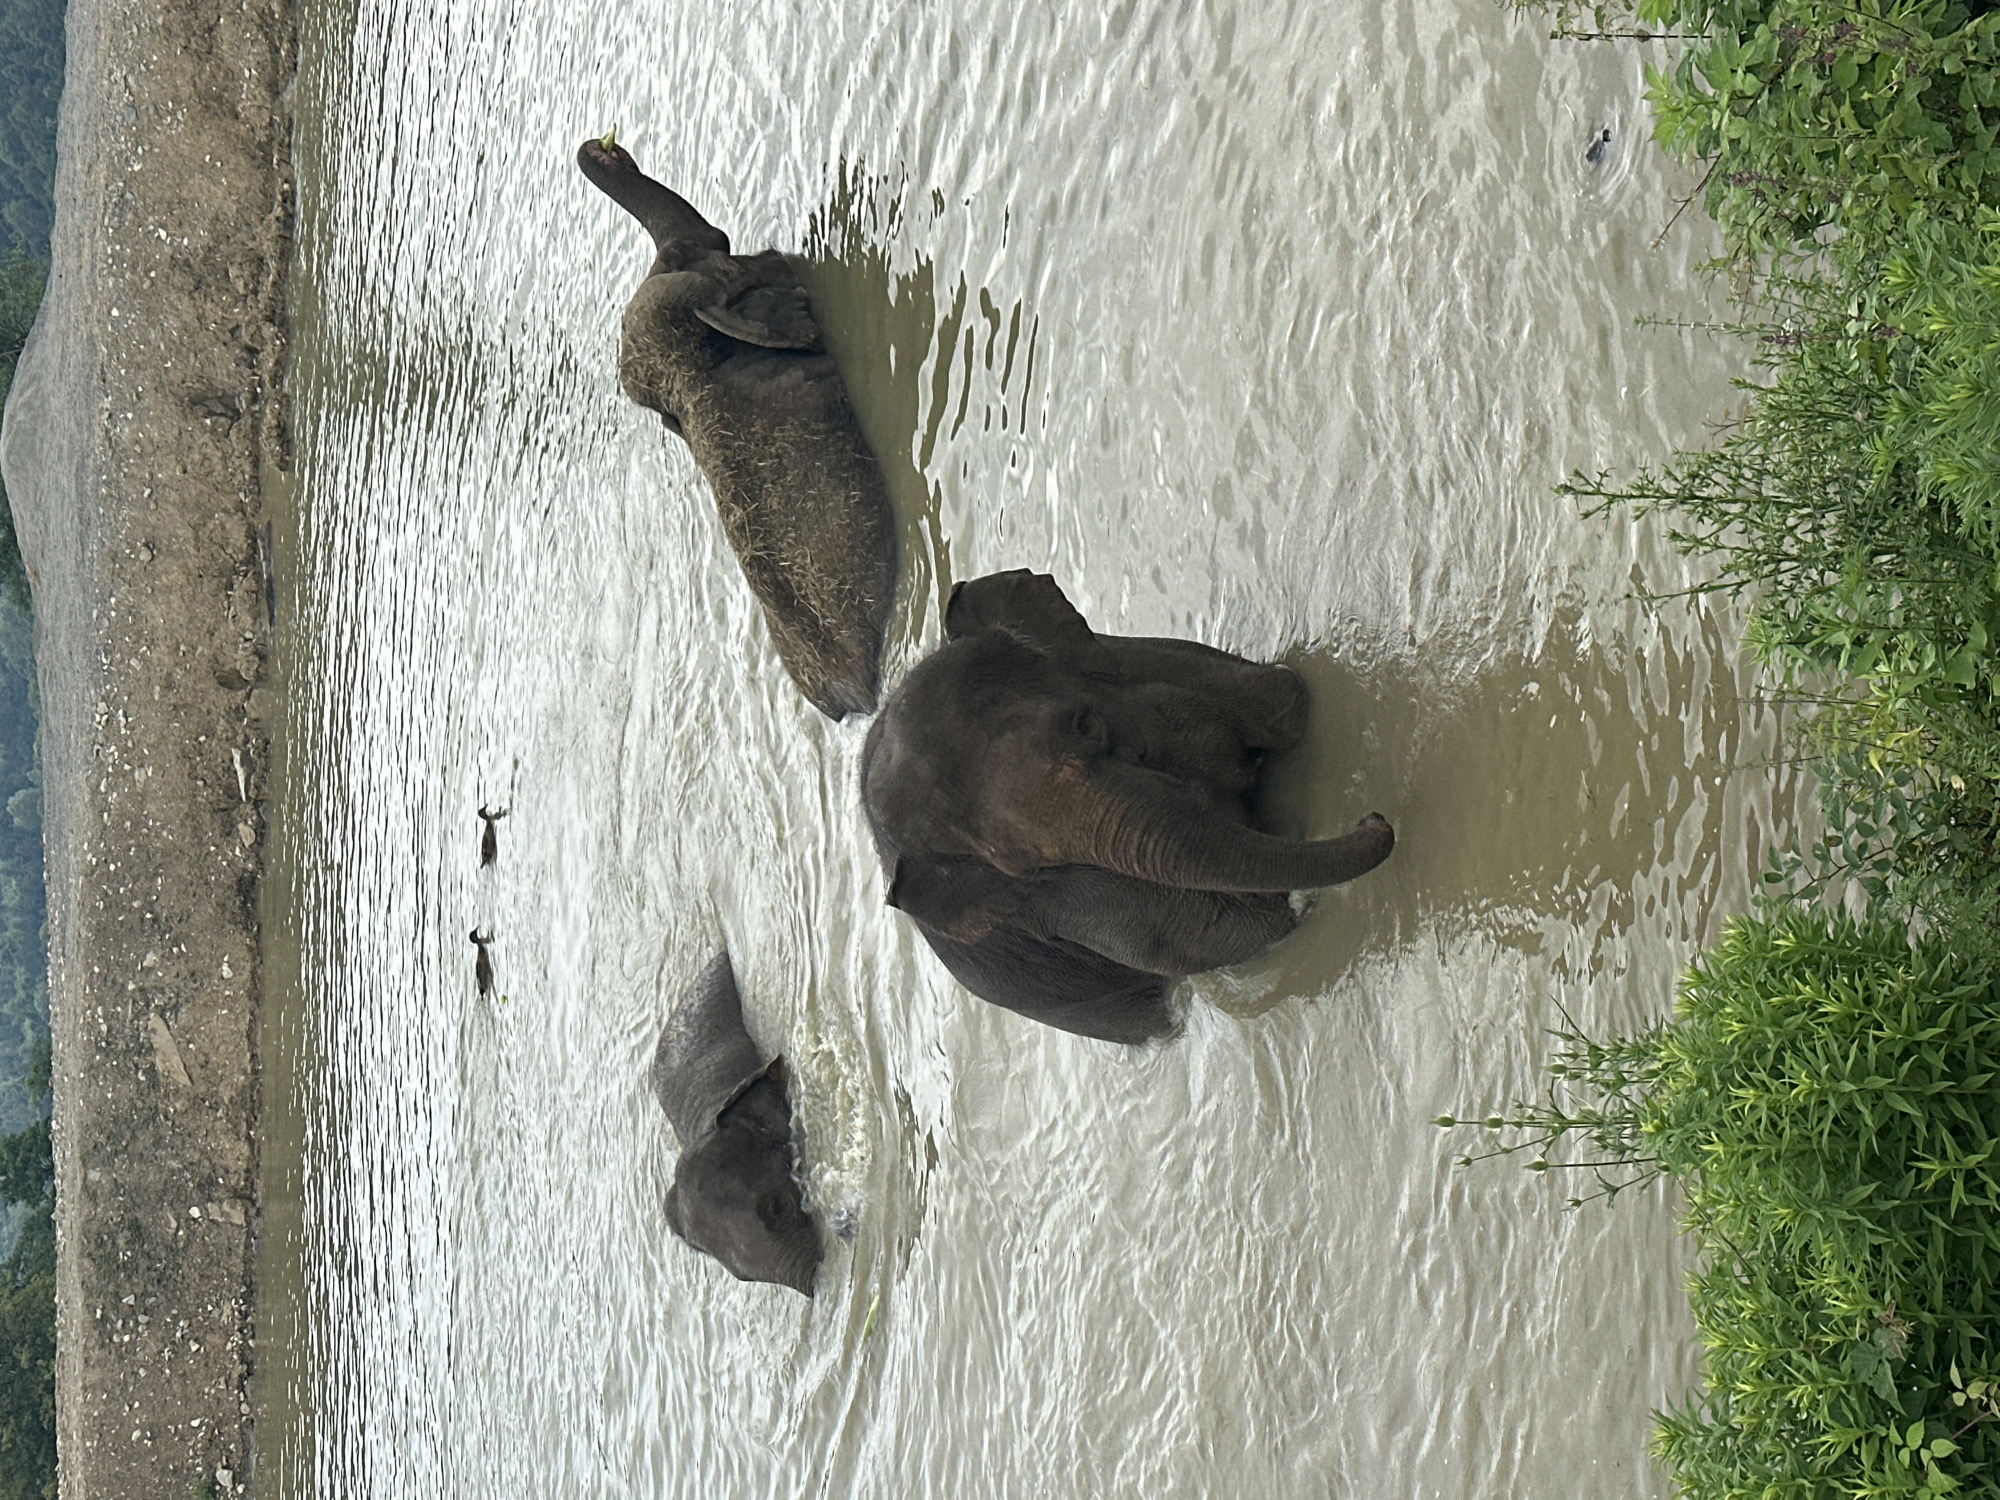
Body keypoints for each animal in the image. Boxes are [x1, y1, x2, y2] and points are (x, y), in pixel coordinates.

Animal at [861, 570, 1396, 1043]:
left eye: (1083, 723)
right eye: (1022, 865)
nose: (1374, 817)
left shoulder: (1129, 657)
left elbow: (1283, 700)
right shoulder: (1064, 906)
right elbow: (1241, 929)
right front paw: (1291, 899)